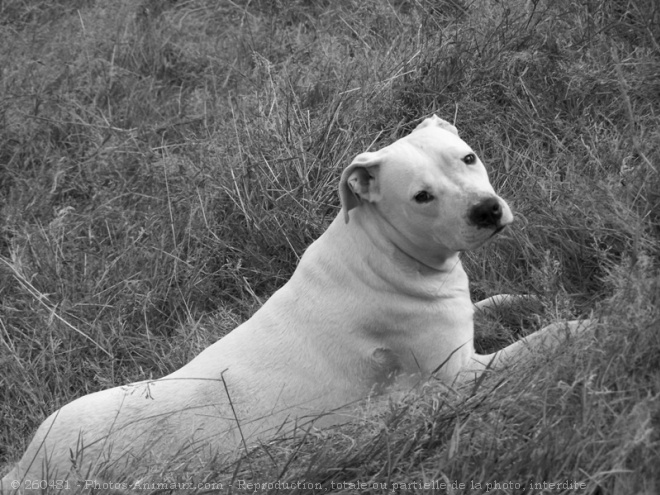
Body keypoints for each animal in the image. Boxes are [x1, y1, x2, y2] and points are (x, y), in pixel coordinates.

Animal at [2, 117, 592, 492]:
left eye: (468, 157)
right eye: (421, 196)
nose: (486, 210)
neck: (381, 250)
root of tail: (25, 465)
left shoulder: (463, 326)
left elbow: (497, 303)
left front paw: (530, 298)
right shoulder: (461, 376)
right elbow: (540, 341)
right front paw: (584, 326)